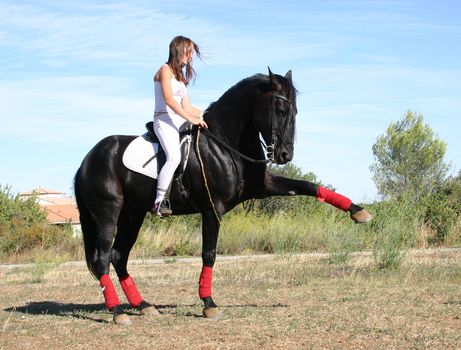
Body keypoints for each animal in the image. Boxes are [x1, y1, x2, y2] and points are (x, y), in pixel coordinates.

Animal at [74, 68, 370, 326]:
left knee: (119, 256)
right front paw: (209, 303)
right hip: (108, 214)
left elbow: (307, 185)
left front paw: (358, 211)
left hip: (133, 216)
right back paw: (117, 312)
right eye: (281, 110)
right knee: (103, 258)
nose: (285, 155)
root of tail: (87, 160)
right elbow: (209, 253)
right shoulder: (212, 209)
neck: (224, 143)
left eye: (295, 111)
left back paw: (143, 305)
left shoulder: (262, 186)